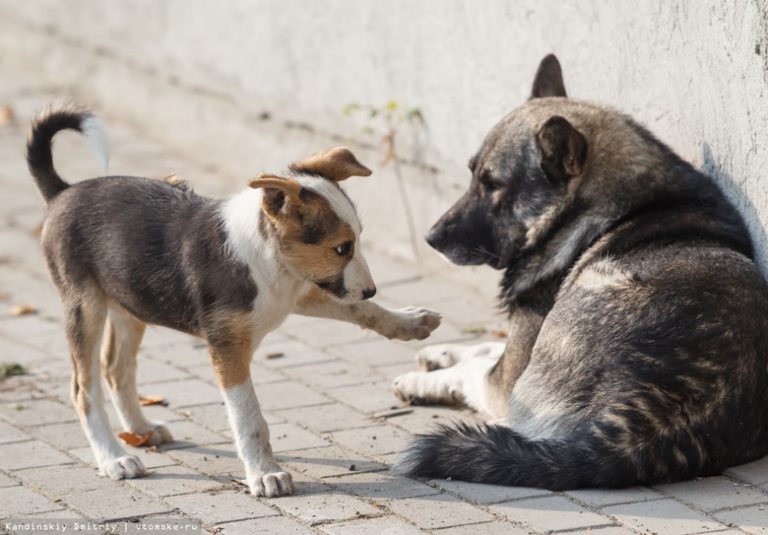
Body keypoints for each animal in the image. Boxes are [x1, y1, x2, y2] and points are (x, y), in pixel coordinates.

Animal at [27, 108, 440, 498]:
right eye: (341, 248)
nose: (371, 289)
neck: (269, 261)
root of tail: (62, 192)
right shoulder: (228, 348)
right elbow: (249, 418)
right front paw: (265, 474)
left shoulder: (297, 292)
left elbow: (358, 309)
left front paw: (409, 321)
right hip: (85, 307)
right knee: (84, 388)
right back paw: (114, 457)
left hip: (130, 301)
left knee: (115, 368)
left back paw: (142, 430)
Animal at [392, 56, 768, 492]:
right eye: (472, 174)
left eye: (493, 184)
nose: (431, 238)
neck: (592, 207)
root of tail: (654, 421)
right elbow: (485, 346)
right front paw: (439, 352)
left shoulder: (508, 378)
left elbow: (477, 366)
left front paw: (423, 380)